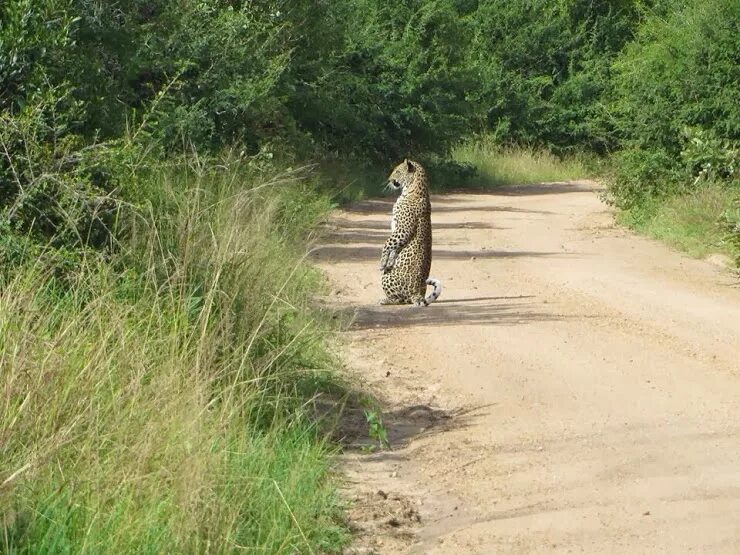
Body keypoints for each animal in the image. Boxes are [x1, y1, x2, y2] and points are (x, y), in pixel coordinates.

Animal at [378, 159, 442, 308]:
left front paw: (383, 262)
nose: (389, 179)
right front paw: (390, 261)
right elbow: (394, 248)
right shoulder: (399, 232)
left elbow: (387, 243)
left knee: (400, 299)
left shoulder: (402, 230)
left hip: (387, 278)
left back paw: (385, 300)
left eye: (397, 171)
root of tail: (418, 294)